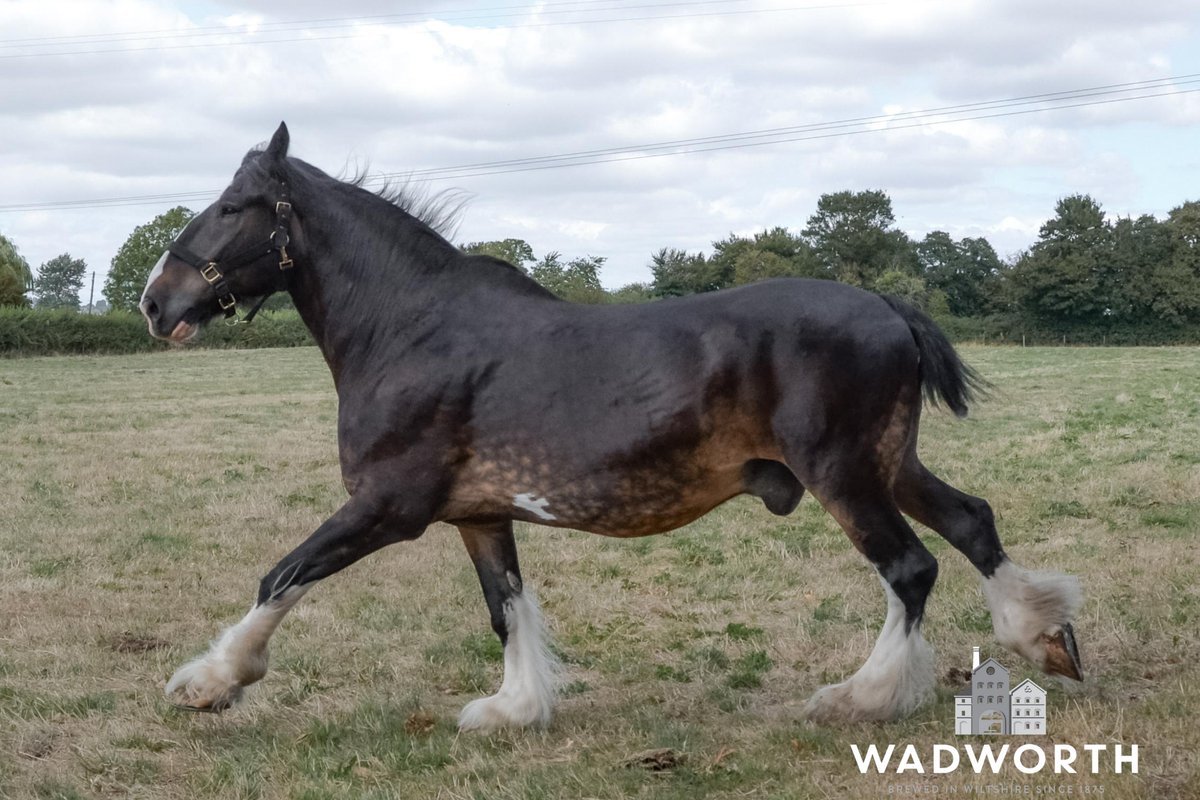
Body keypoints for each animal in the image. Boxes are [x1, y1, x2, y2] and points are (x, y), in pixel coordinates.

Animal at [139, 123, 1083, 731]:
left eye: (234, 204)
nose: (156, 302)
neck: (410, 329)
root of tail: (888, 306)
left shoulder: (387, 508)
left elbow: (282, 575)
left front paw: (211, 684)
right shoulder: (480, 516)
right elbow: (507, 610)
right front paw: (512, 709)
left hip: (843, 473)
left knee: (910, 569)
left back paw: (861, 697)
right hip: (890, 464)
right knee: (972, 522)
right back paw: (1046, 640)